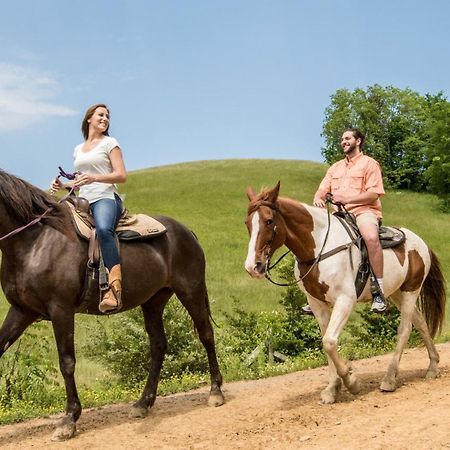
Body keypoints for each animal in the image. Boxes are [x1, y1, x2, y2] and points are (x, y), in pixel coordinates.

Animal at [0, 171, 224, 442]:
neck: (35, 241)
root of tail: (186, 231)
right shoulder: (22, 311)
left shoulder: (60, 310)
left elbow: (67, 362)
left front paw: (69, 420)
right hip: (153, 302)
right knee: (158, 345)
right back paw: (143, 403)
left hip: (190, 291)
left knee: (206, 334)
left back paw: (215, 392)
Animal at [246, 182, 446, 404]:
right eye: (247, 223)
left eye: (269, 220)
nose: (253, 267)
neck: (318, 249)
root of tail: (421, 243)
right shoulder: (317, 304)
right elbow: (326, 341)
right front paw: (332, 389)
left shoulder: (345, 300)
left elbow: (329, 342)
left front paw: (351, 382)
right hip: (397, 293)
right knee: (420, 322)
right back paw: (432, 366)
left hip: (412, 289)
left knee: (405, 329)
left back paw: (389, 379)